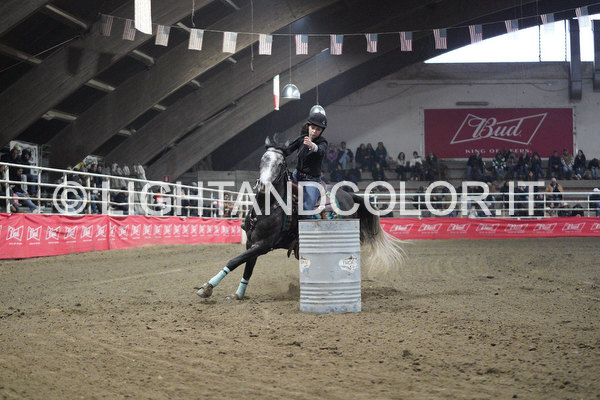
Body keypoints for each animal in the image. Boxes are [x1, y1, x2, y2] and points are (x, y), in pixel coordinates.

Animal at [196, 138, 404, 300]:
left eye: (281, 163)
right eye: (262, 160)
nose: (263, 185)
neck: (267, 206)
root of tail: (349, 195)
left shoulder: (263, 245)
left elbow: (234, 261)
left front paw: (207, 287)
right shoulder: (251, 243)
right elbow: (247, 266)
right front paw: (239, 293)